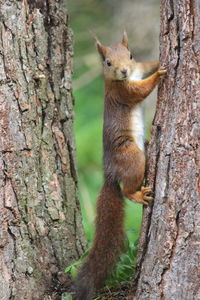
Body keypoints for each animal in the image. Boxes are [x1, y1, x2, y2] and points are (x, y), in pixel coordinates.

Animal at [74, 31, 166, 298]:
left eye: (131, 55)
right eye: (107, 63)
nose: (124, 71)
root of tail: (110, 173)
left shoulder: (138, 68)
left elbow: (145, 66)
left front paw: (158, 63)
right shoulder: (121, 92)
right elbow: (140, 91)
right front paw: (158, 76)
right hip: (133, 158)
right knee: (127, 190)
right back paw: (137, 194)